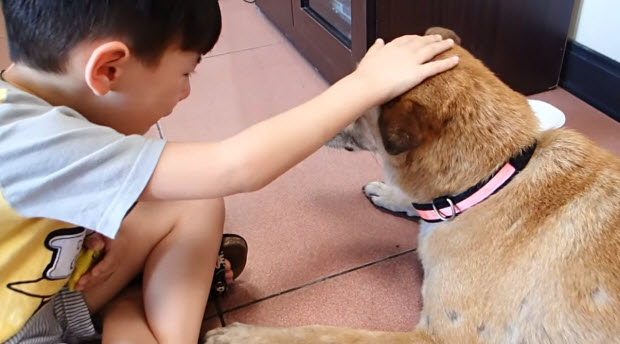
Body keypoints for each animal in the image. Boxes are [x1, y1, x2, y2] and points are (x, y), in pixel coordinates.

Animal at [207, 28, 620, 344]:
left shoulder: (438, 337)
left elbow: (322, 333)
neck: (490, 183)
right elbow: (417, 203)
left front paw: (244, 335)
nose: (317, 109)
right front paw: (392, 194)